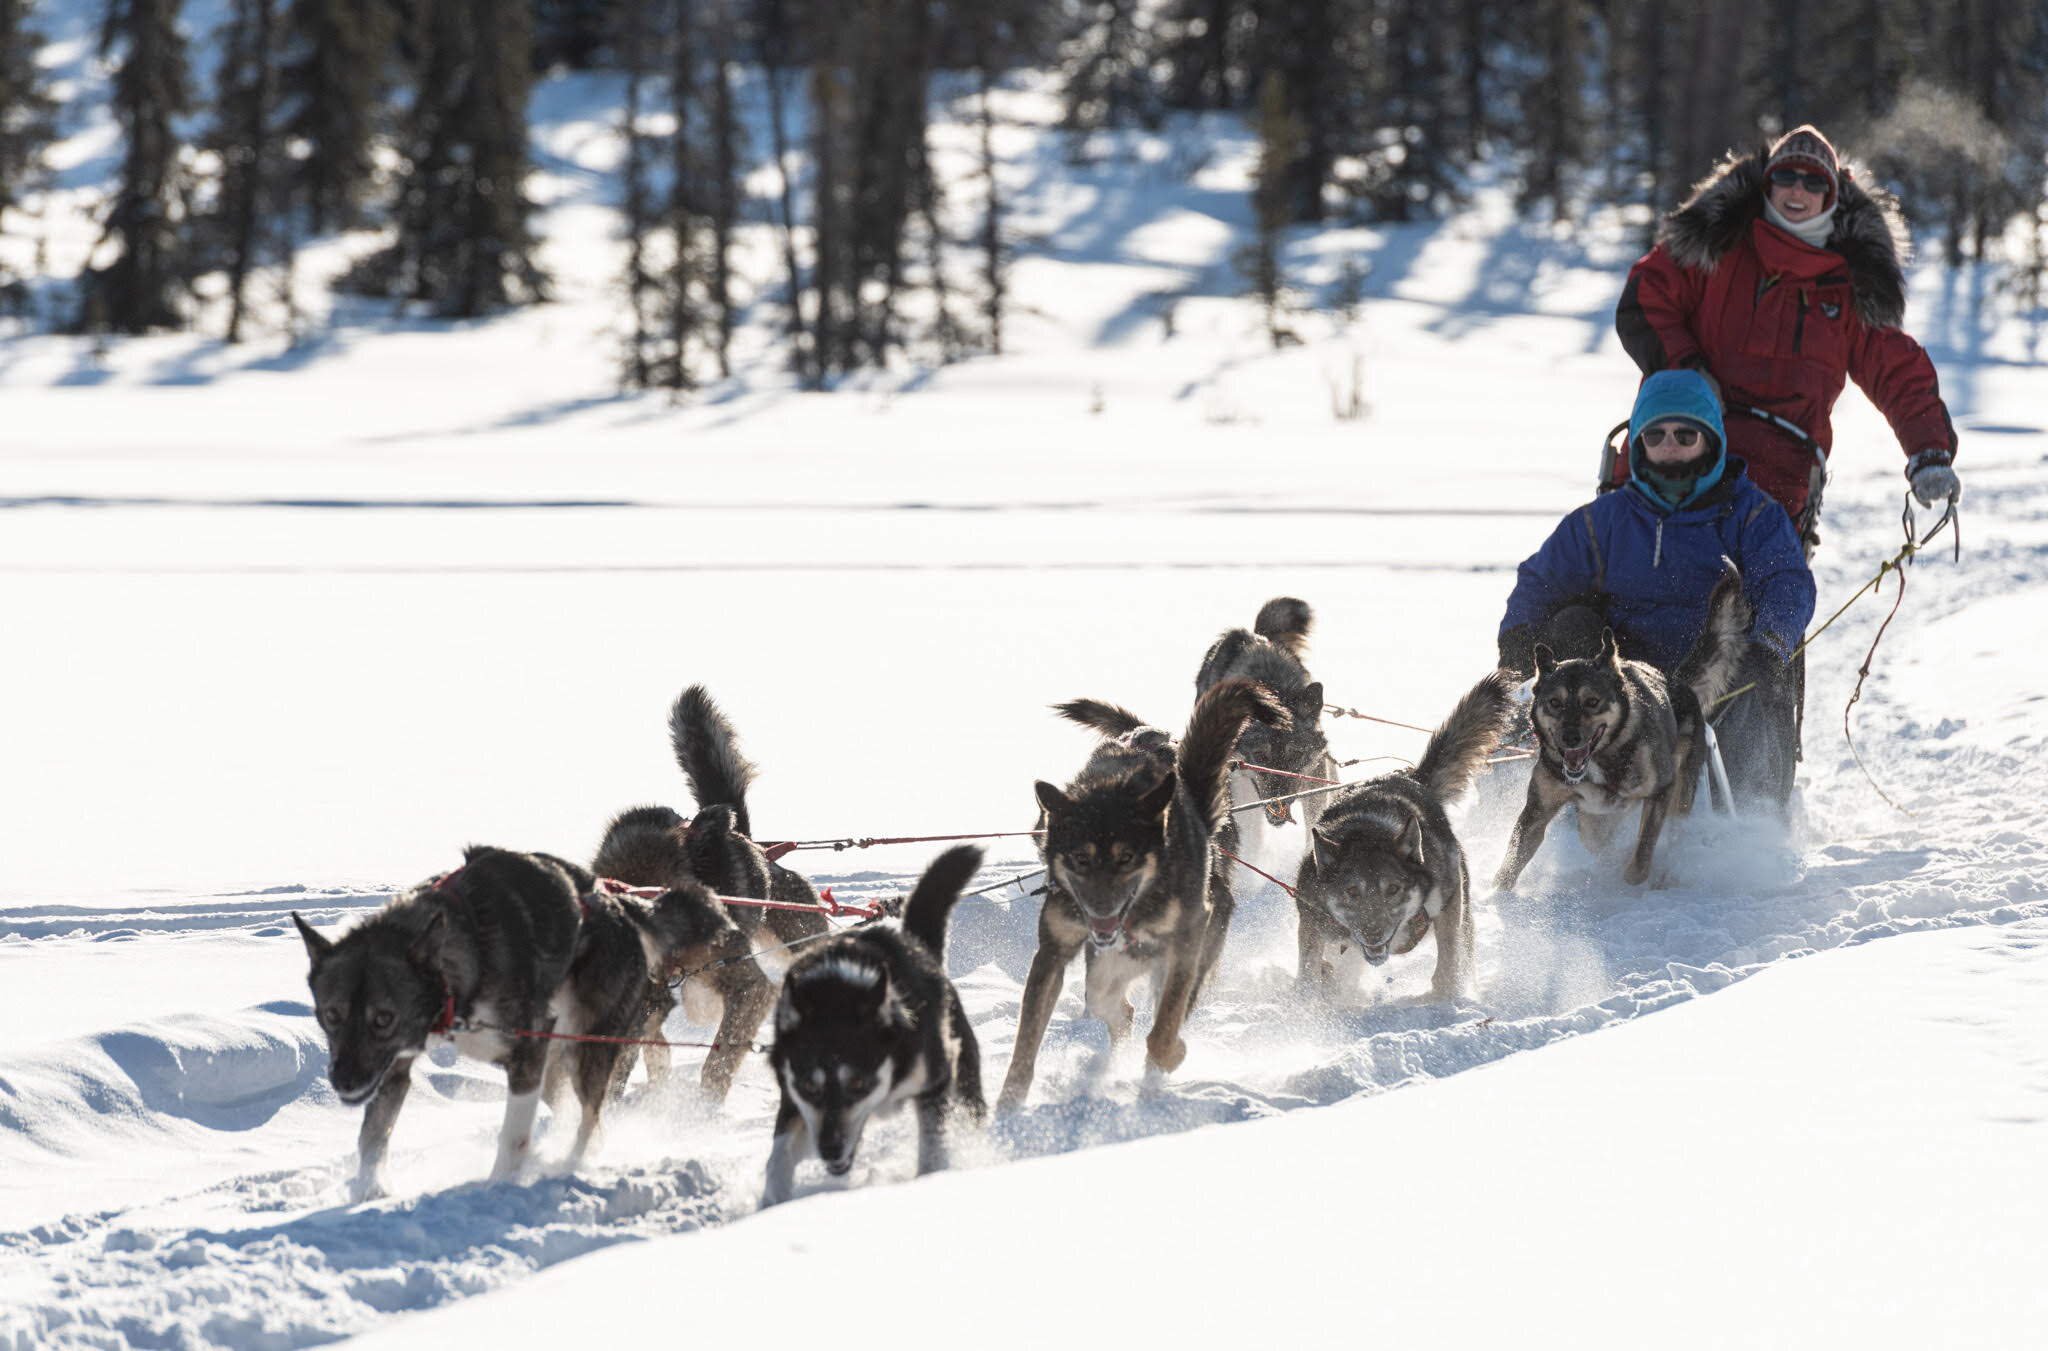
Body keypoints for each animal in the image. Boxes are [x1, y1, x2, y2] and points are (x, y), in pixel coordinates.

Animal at [292, 851, 733, 1195]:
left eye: (383, 1018)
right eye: (331, 1015)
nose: (343, 1082)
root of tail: (622, 907)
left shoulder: (525, 1054)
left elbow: (513, 1135)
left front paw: (498, 1186)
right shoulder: (395, 1066)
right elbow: (372, 1135)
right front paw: (369, 1189)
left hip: (586, 1050)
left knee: (589, 1118)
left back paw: (569, 1167)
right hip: (555, 1067)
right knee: (576, 1113)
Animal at [770, 843, 991, 1203]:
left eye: (858, 1082)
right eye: (809, 1086)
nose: (829, 1150)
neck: (838, 996)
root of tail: (919, 946)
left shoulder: (934, 1083)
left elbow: (932, 1150)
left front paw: (932, 1181)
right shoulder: (793, 1097)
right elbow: (778, 1157)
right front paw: (770, 1203)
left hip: (963, 1078)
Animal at [1294, 667, 1523, 998]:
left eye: (1393, 889)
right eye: (1351, 891)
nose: (1373, 934)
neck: (1366, 832)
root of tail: (1414, 779)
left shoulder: (1449, 899)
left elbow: (1448, 962)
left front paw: (1446, 999)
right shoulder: (1312, 920)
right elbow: (1309, 969)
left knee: (1465, 950)